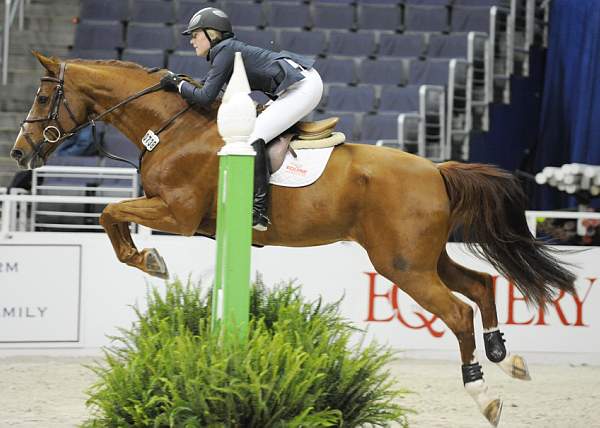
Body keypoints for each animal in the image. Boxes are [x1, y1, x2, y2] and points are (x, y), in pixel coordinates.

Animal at [7, 52, 576, 424]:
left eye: (43, 95)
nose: (19, 154)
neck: (171, 128)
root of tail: (436, 169)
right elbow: (115, 214)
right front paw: (147, 258)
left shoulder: (178, 213)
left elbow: (109, 212)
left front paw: (148, 260)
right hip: (421, 257)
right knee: (480, 284)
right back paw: (507, 358)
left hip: (402, 265)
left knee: (458, 311)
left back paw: (484, 396)